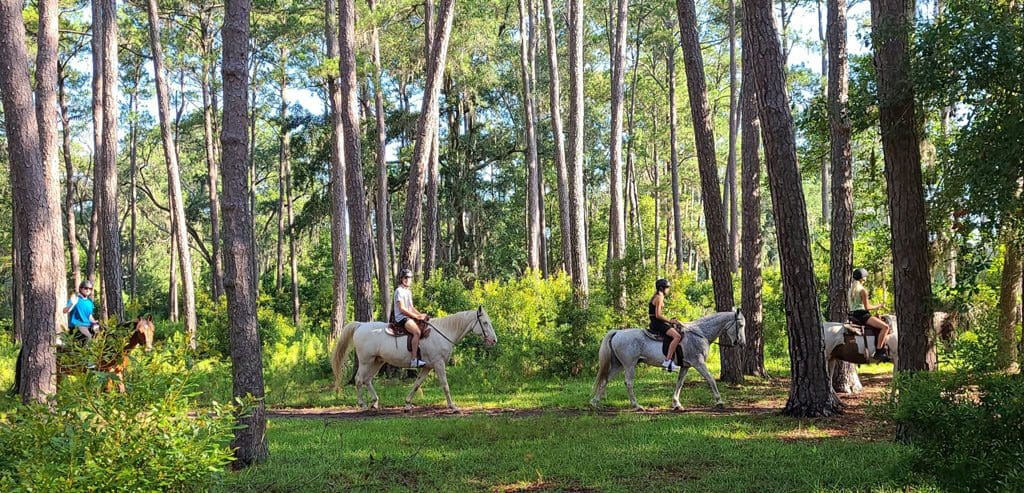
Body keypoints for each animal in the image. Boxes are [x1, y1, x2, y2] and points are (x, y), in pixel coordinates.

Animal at [329, 307, 497, 412]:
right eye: (485, 323)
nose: (494, 340)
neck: (444, 332)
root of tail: (360, 326)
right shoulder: (438, 364)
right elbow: (445, 385)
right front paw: (452, 406)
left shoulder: (428, 366)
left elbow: (417, 384)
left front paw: (407, 404)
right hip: (366, 361)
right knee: (359, 379)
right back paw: (362, 404)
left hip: (377, 361)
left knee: (367, 380)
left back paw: (375, 402)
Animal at [593, 311, 745, 412]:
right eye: (741, 325)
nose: (742, 343)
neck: (700, 333)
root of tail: (617, 332)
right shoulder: (698, 363)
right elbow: (711, 379)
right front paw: (719, 401)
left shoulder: (686, 366)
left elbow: (680, 383)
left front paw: (676, 404)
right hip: (629, 365)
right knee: (628, 383)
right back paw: (636, 405)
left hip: (618, 365)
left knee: (605, 379)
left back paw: (594, 402)